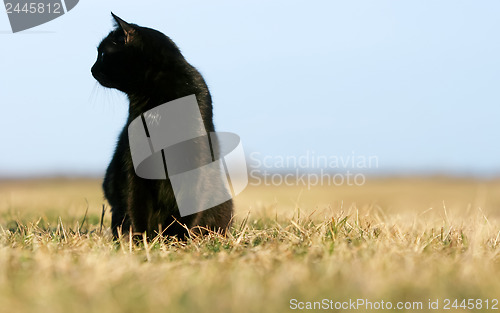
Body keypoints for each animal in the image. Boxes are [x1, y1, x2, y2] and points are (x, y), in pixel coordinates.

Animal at [91, 11, 234, 236]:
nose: (91, 69)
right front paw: (139, 239)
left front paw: (178, 238)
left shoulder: (196, 158)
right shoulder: (131, 161)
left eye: (103, 54)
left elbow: (190, 203)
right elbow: (133, 202)